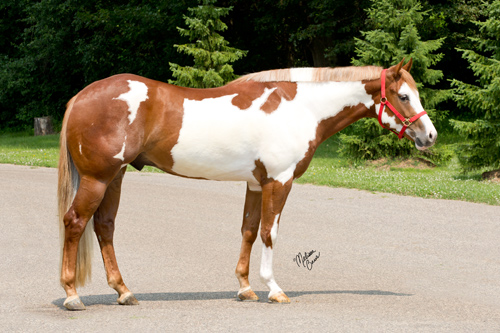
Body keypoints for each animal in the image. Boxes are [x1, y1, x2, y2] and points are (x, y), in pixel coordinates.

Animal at [56, 59, 436, 308]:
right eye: (404, 96)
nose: (429, 136)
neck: (301, 109)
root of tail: (80, 97)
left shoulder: (256, 184)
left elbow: (250, 230)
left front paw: (245, 288)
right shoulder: (279, 182)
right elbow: (270, 233)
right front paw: (274, 289)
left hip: (115, 178)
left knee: (104, 227)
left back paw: (124, 292)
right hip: (98, 179)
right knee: (75, 223)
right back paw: (72, 295)